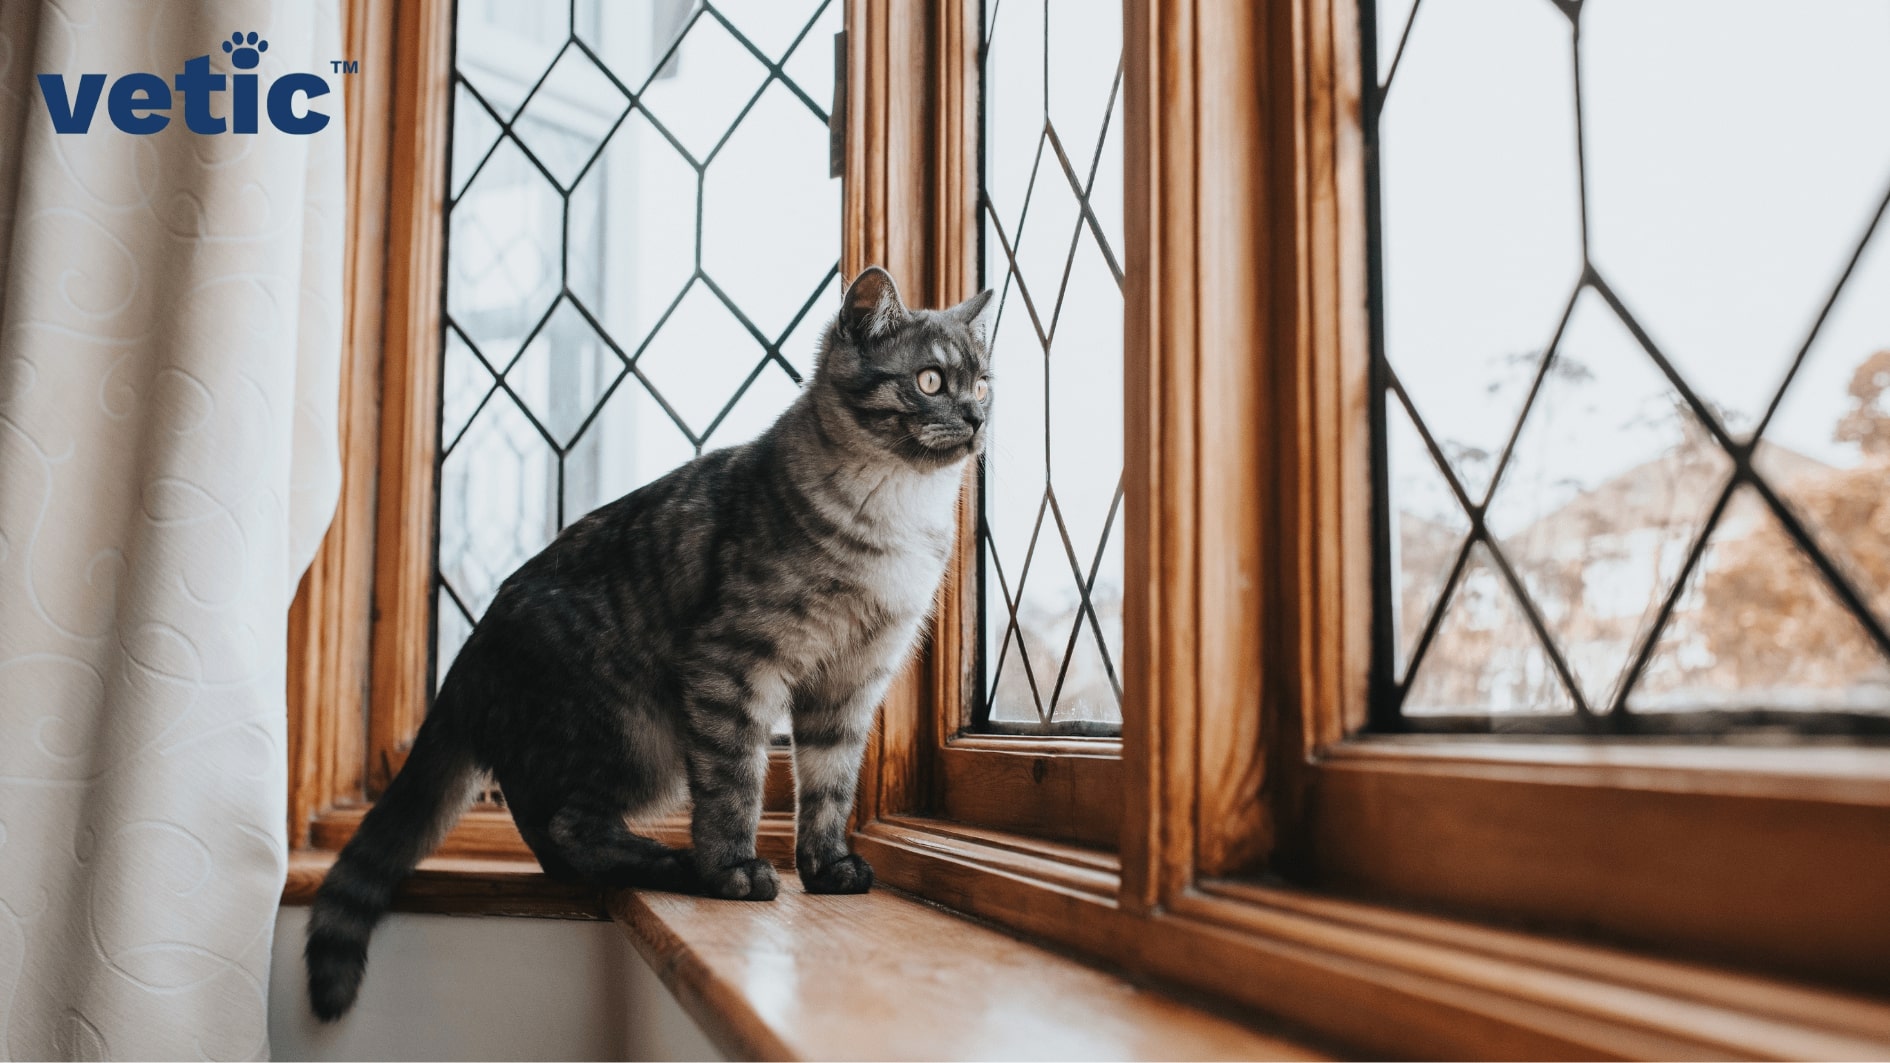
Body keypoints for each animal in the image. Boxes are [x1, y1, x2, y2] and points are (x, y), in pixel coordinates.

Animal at [302, 264, 997, 1021]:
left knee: (549, 836)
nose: (978, 418)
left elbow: (830, 786)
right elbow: (735, 786)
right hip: (635, 736)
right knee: (568, 826)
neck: (898, 509)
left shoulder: (847, 686)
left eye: (983, 383)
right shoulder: (732, 666)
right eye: (930, 380)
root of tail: (472, 654)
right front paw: (732, 871)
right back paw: (676, 863)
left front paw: (827, 867)